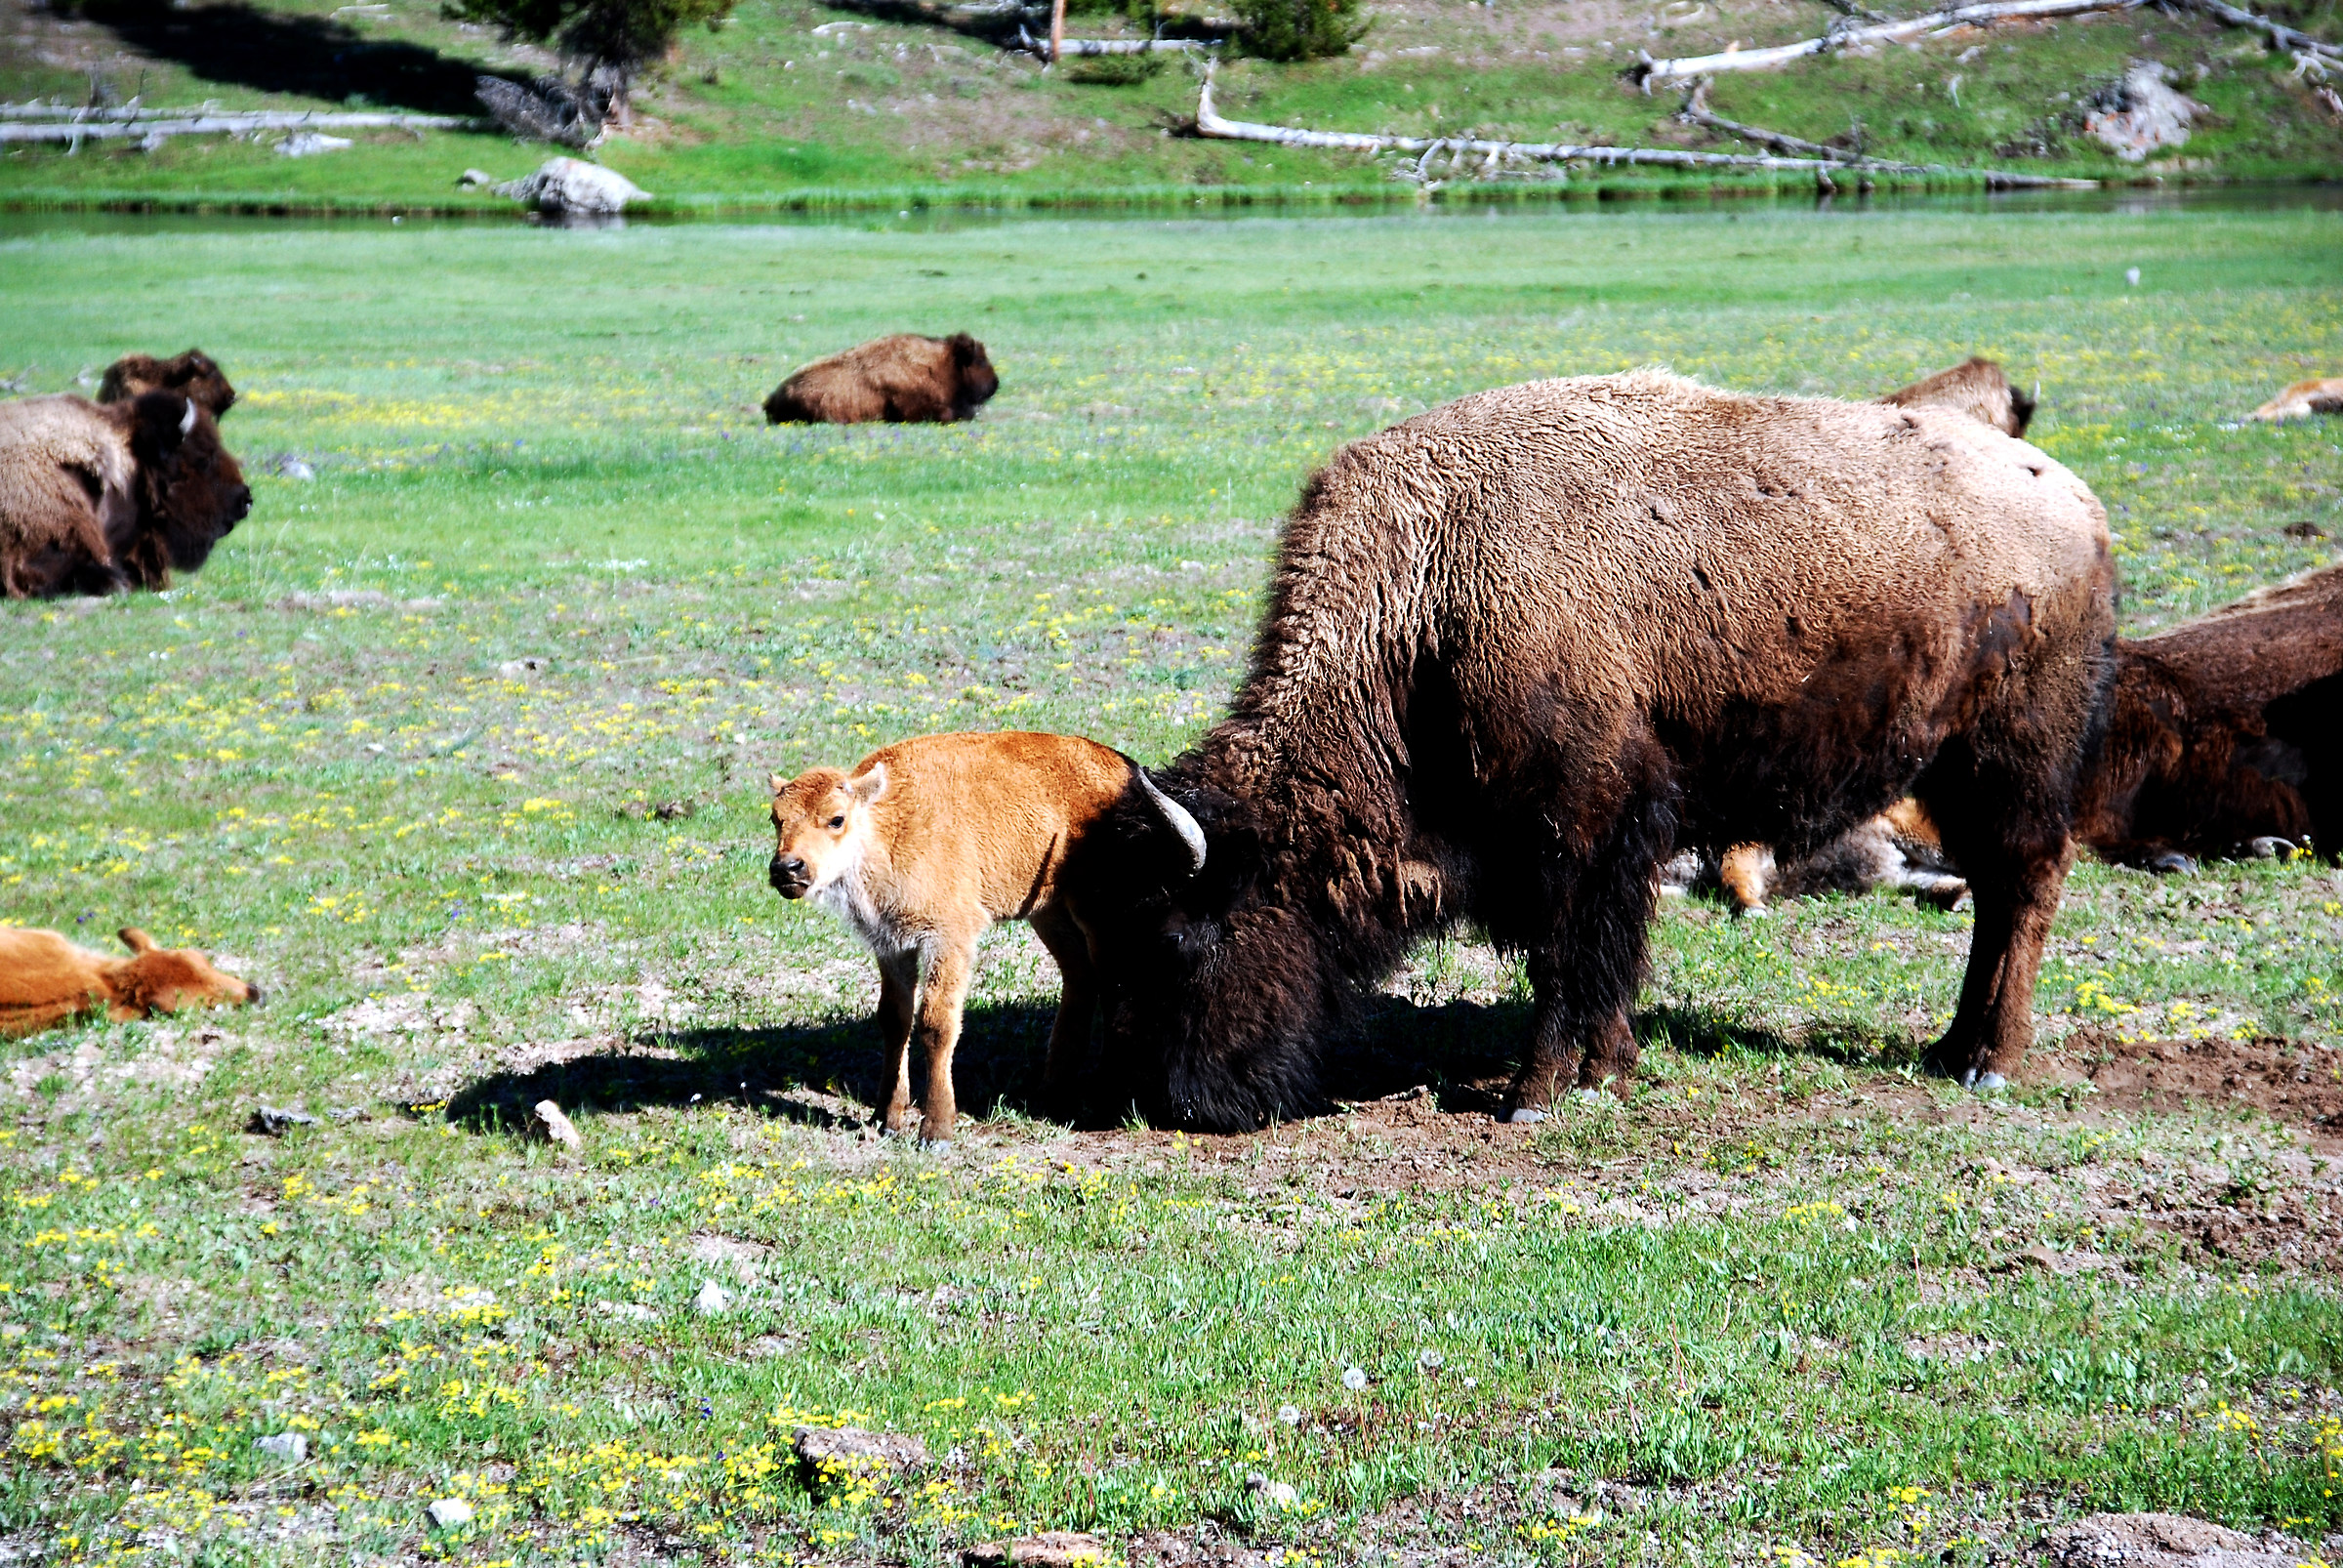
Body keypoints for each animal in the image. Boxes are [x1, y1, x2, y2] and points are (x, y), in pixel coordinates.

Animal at [1065, 370, 2116, 1129]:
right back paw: (1950, 1050)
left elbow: (1568, 957)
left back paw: (1985, 1061)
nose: (1175, 1103)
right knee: (1997, 889)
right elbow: (1600, 956)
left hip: (2012, 756)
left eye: (1176, 936)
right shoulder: (1598, 842)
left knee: (2021, 887)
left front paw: (1533, 1096)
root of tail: (2074, 498)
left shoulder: (1578, 827)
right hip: (1955, 771)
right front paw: (1605, 1070)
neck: (1430, 590)